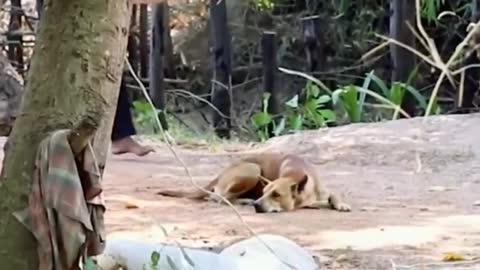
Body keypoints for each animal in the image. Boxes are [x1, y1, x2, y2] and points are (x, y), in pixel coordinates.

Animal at [156, 152, 350, 213]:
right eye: (264, 192)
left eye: (276, 194)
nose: (257, 204)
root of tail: (220, 174)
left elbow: (334, 194)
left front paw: (340, 204)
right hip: (253, 170)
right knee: (219, 197)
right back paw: (245, 200)